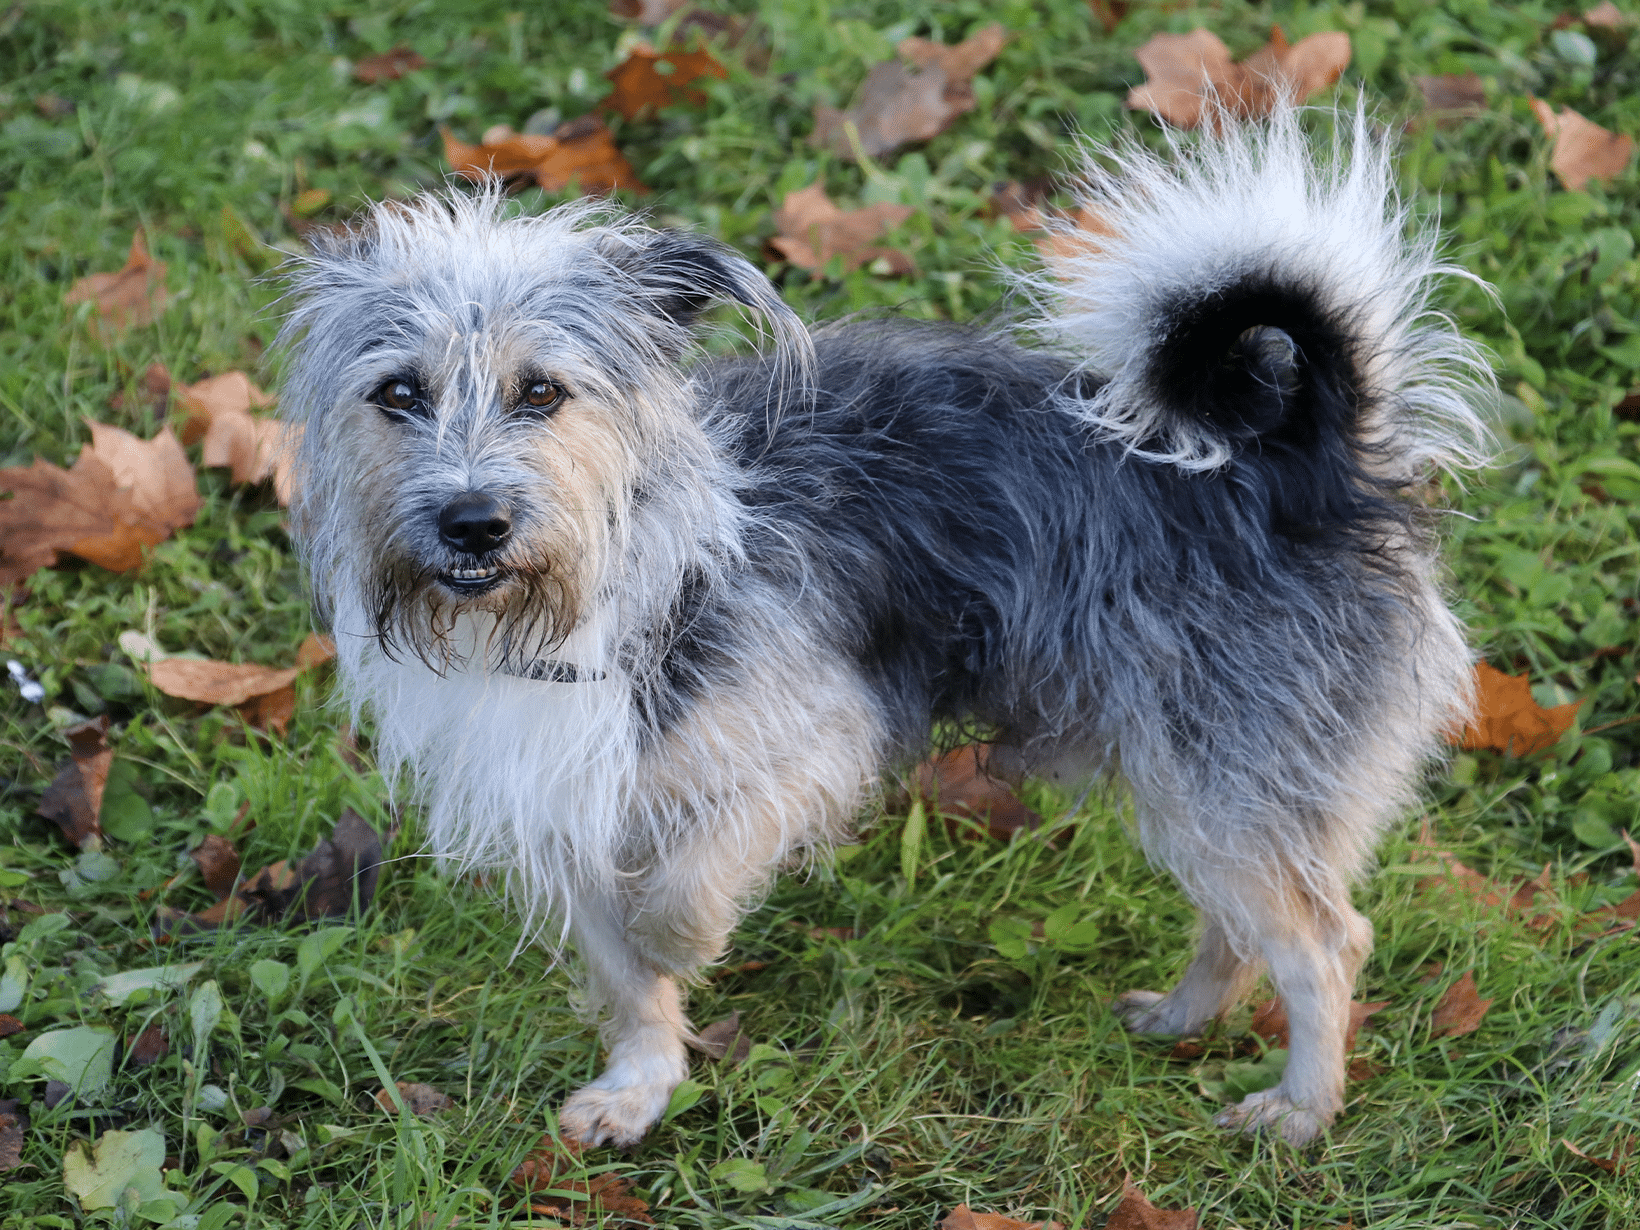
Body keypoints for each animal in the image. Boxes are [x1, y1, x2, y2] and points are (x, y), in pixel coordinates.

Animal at [278, 110, 1489, 1154]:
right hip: (1208, 785)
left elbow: (677, 895)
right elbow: (624, 976)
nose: (471, 520)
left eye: (541, 392)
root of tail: (1294, 459)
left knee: (1323, 941)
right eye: (397, 393)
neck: (607, 582)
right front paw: (641, 1086)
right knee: (1247, 921)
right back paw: (1186, 1017)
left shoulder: (820, 739)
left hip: (1221, 770)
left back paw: (1302, 1108)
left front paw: (685, 944)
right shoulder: (568, 808)